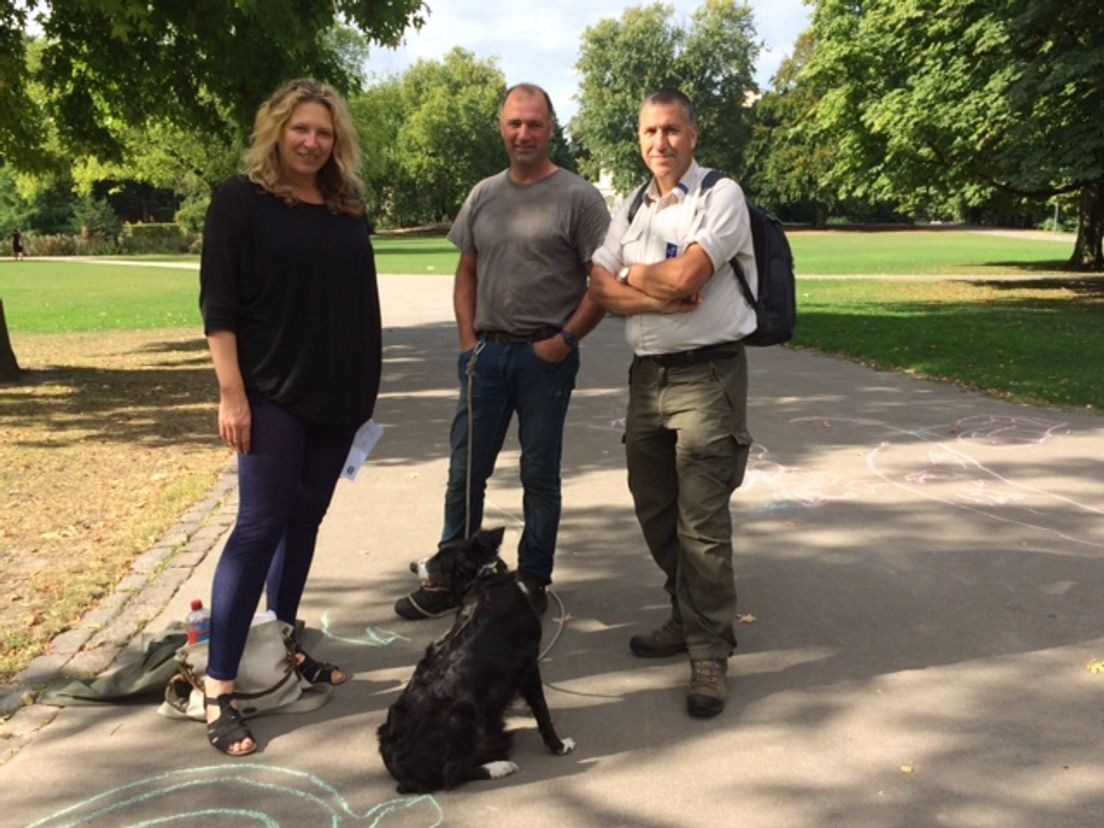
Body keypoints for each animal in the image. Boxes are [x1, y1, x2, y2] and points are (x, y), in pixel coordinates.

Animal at [377, 527, 574, 794]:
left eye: (439, 559)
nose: (412, 566)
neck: (485, 580)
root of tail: (396, 761)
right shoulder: (529, 665)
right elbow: (542, 712)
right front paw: (559, 745)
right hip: (462, 713)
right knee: (451, 776)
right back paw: (498, 766)